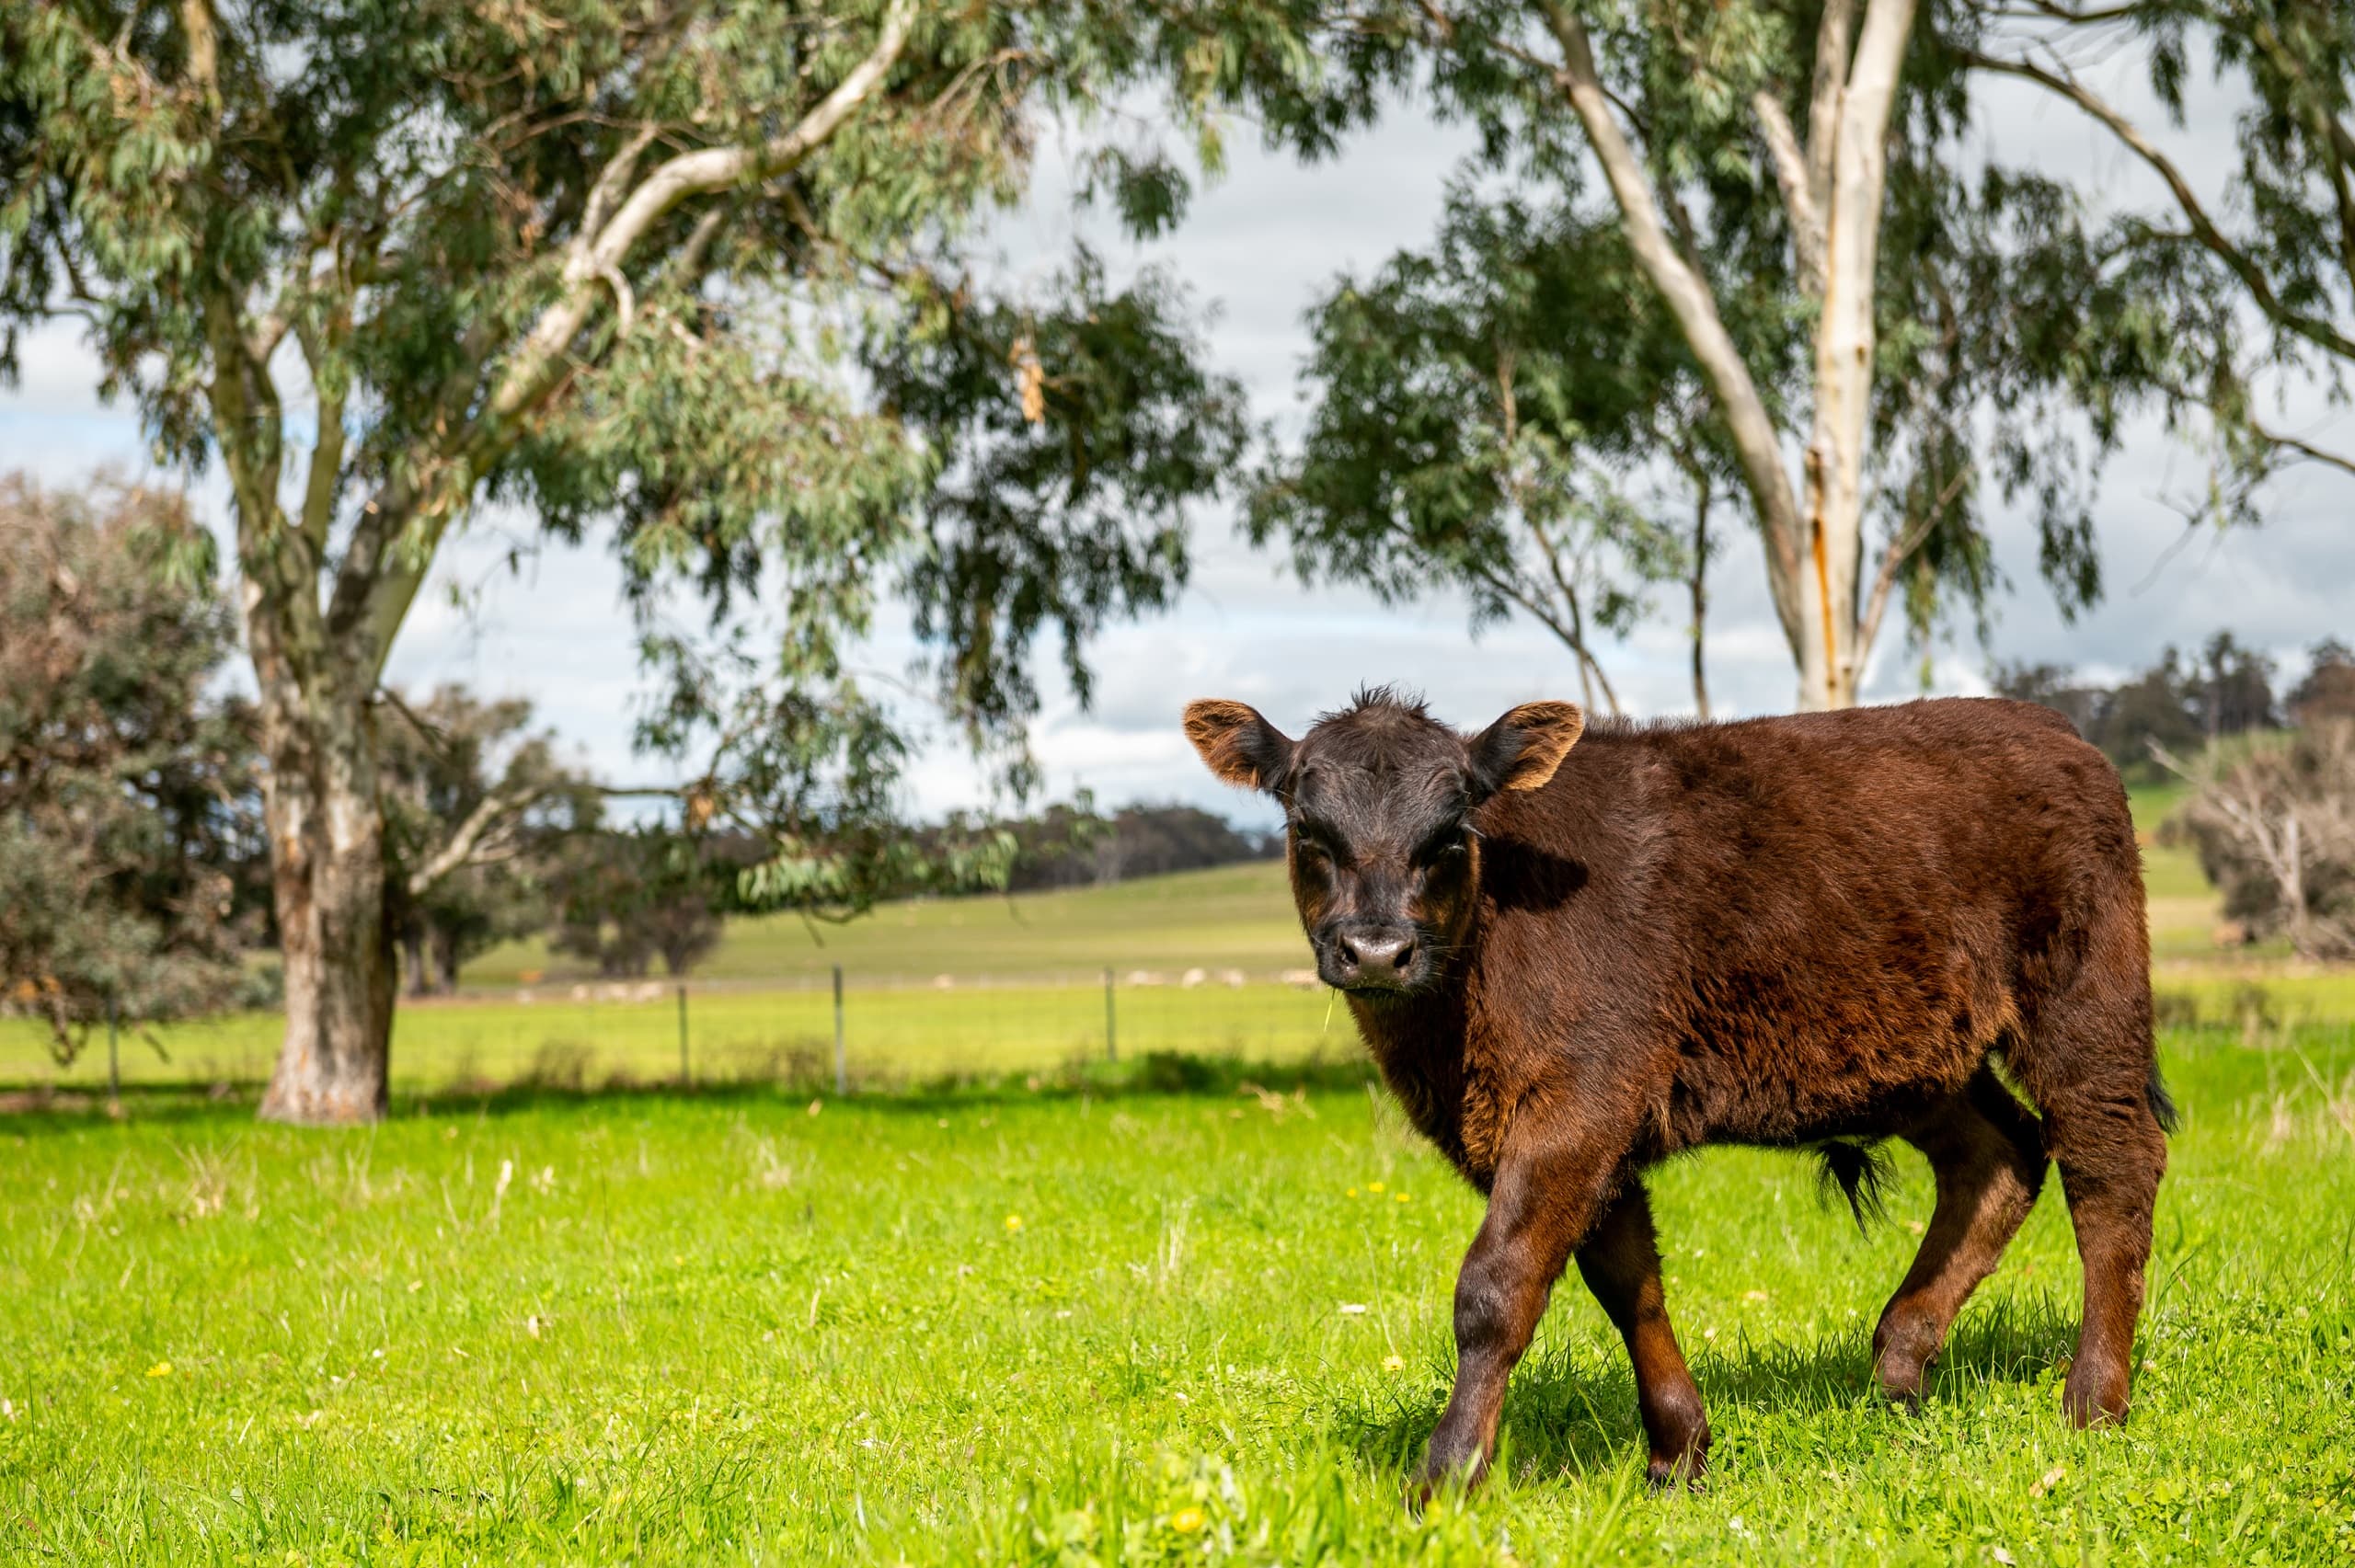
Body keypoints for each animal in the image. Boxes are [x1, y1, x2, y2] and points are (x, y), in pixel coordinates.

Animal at [1182, 689, 2171, 1494]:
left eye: (1452, 832)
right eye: (1307, 831)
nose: (1378, 950)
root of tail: (2055, 730)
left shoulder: (1579, 1096)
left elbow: (1496, 1287)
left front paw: (1446, 1474)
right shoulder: (1587, 1124)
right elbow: (1627, 1280)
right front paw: (1679, 1451)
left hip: (2086, 997)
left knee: (2109, 1170)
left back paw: (2092, 1403)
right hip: (1920, 1056)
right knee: (1999, 1157)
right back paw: (1899, 1368)